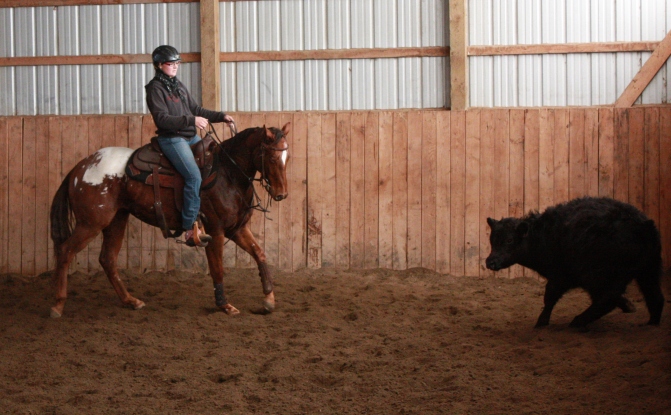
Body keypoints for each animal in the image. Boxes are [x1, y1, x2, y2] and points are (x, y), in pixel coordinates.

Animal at [47, 122, 288, 318]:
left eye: (287, 158)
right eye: (272, 157)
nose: (282, 194)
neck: (227, 174)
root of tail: (81, 167)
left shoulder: (237, 229)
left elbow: (260, 254)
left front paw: (268, 299)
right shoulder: (215, 230)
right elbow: (218, 268)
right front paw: (224, 305)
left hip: (116, 220)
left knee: (107, 259)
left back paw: (130, 301)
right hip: (91, 222)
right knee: (65, 251)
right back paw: (57, 305)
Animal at [486, 197, 664, 330]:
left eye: (509, 240)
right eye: (492, 239)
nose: (490, 262)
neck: (543, 235)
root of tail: (642, 225)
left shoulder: (560, 277)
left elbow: (549, 298)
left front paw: (541, 322)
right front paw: (628, 305)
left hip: (600, 275)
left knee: (608, 299)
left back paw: (578, 321)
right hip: (648, 271)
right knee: (655, 297)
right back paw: (652, 323)